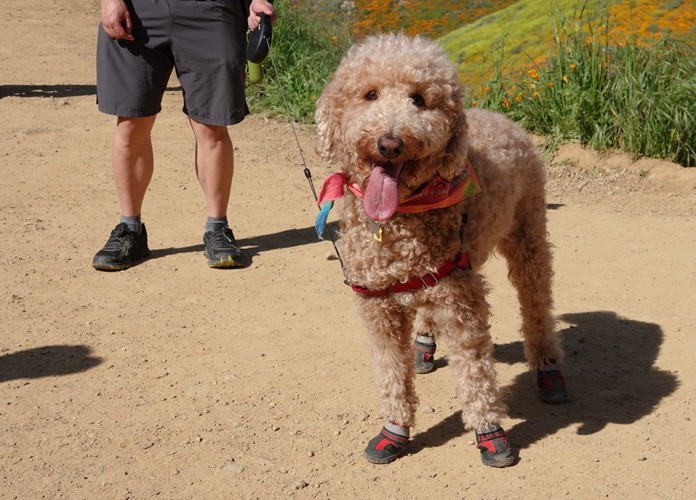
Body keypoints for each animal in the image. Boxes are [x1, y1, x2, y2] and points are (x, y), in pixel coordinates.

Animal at [314, 33, 564, 466]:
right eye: (369, 94)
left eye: (419, 99)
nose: (390, 143)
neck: (399, 218)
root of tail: (501, 118)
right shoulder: (378, 307)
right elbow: (391, 372)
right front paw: (394, 430)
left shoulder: (460, 300)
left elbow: (474, 370)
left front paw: (489, 432)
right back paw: (425, 345)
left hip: (528, 237)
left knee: (537, 305)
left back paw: (547, 366)